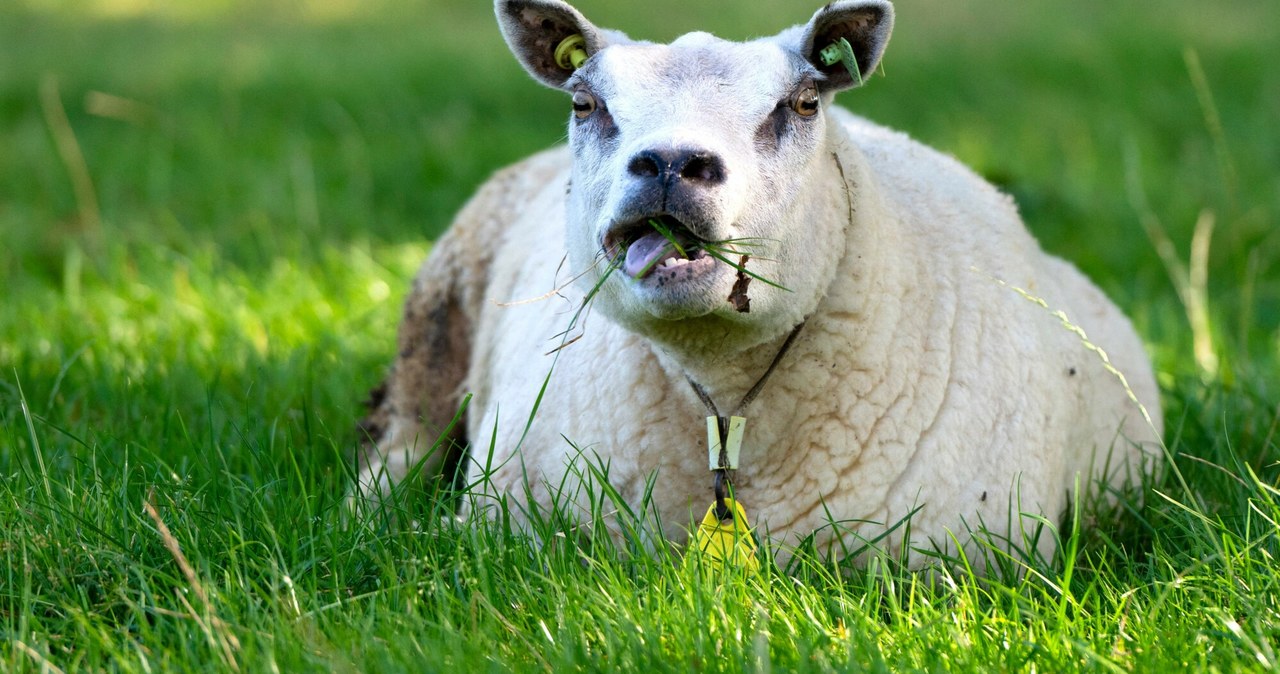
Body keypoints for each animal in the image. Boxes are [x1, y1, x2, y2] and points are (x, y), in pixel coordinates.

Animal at [350, 0, 1162, 570]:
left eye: (802, 104)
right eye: (586, 104)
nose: (671, 163)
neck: (722, 391)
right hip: (438, 315)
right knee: (401, 443)